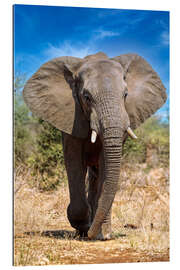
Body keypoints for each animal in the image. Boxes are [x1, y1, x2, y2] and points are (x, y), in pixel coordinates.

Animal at [23, 51, 167, 239]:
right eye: (86, 97)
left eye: (125, 95)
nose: (90, 233)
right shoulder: (71, 116)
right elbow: (74, 161)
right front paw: (83, 227)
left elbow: (106, 163)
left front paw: (101, 234)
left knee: (97, 175)